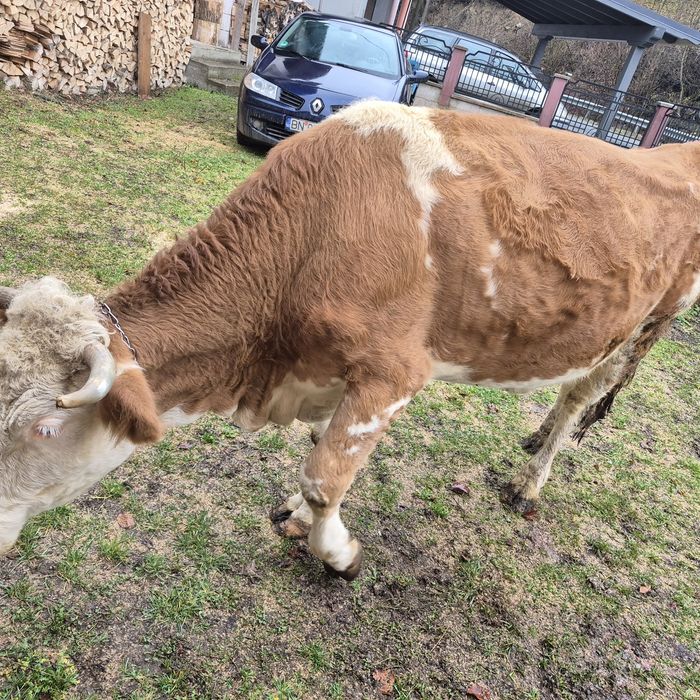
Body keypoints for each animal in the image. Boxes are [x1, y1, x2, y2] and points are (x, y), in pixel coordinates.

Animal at [1, 101, 699, 580]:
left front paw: (337, 552)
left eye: (44, 428)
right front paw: (299, 516)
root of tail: (673, 151)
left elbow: (323, 475)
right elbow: (319, 450)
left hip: (649, 321)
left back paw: (530, 480)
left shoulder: (393, 372)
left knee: (584, 393)